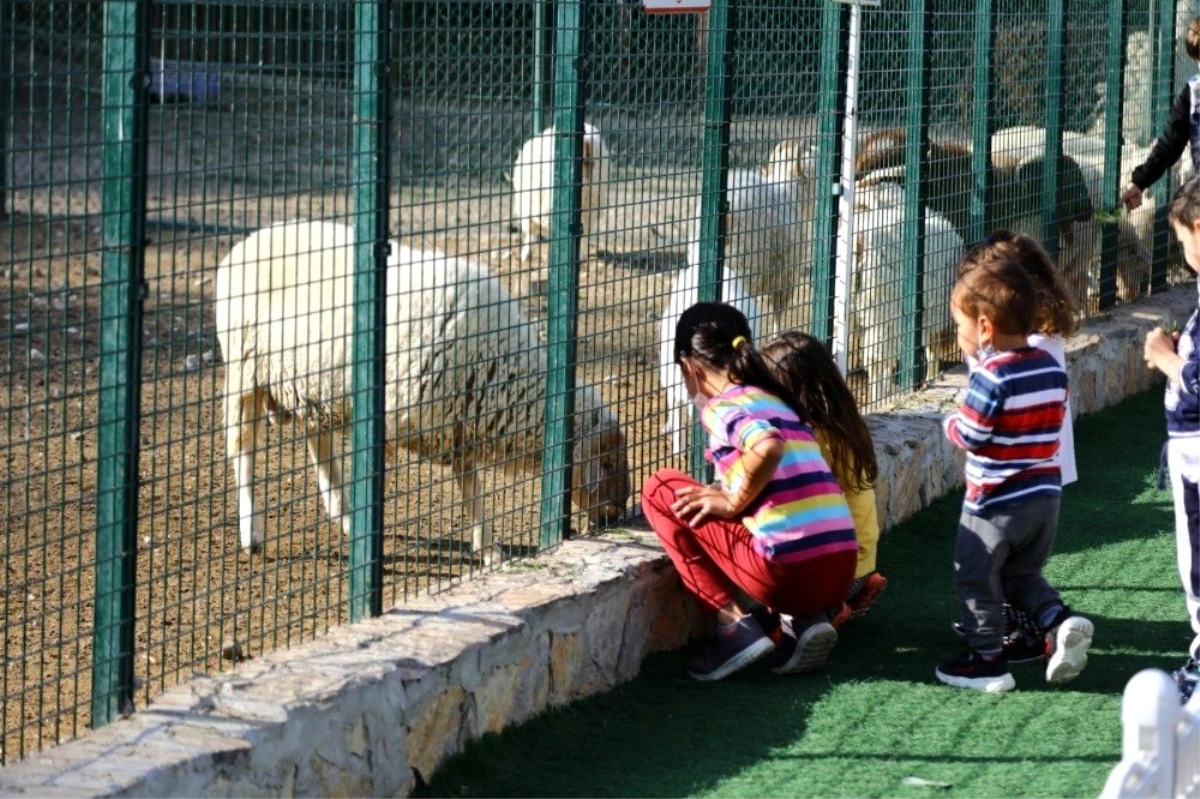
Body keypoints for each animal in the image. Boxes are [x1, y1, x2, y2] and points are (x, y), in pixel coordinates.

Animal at [217, 215, 633, 559]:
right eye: (607, 461)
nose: (618, 513)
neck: (499, 369)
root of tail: (247, 242)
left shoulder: (459, 423)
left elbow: (472, 489)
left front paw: (489, 551)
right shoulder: (396, 421)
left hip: (312, 386)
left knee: (317, 441)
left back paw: (342, 514)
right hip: (244, 370)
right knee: (243, 450)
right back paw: (252, 534)